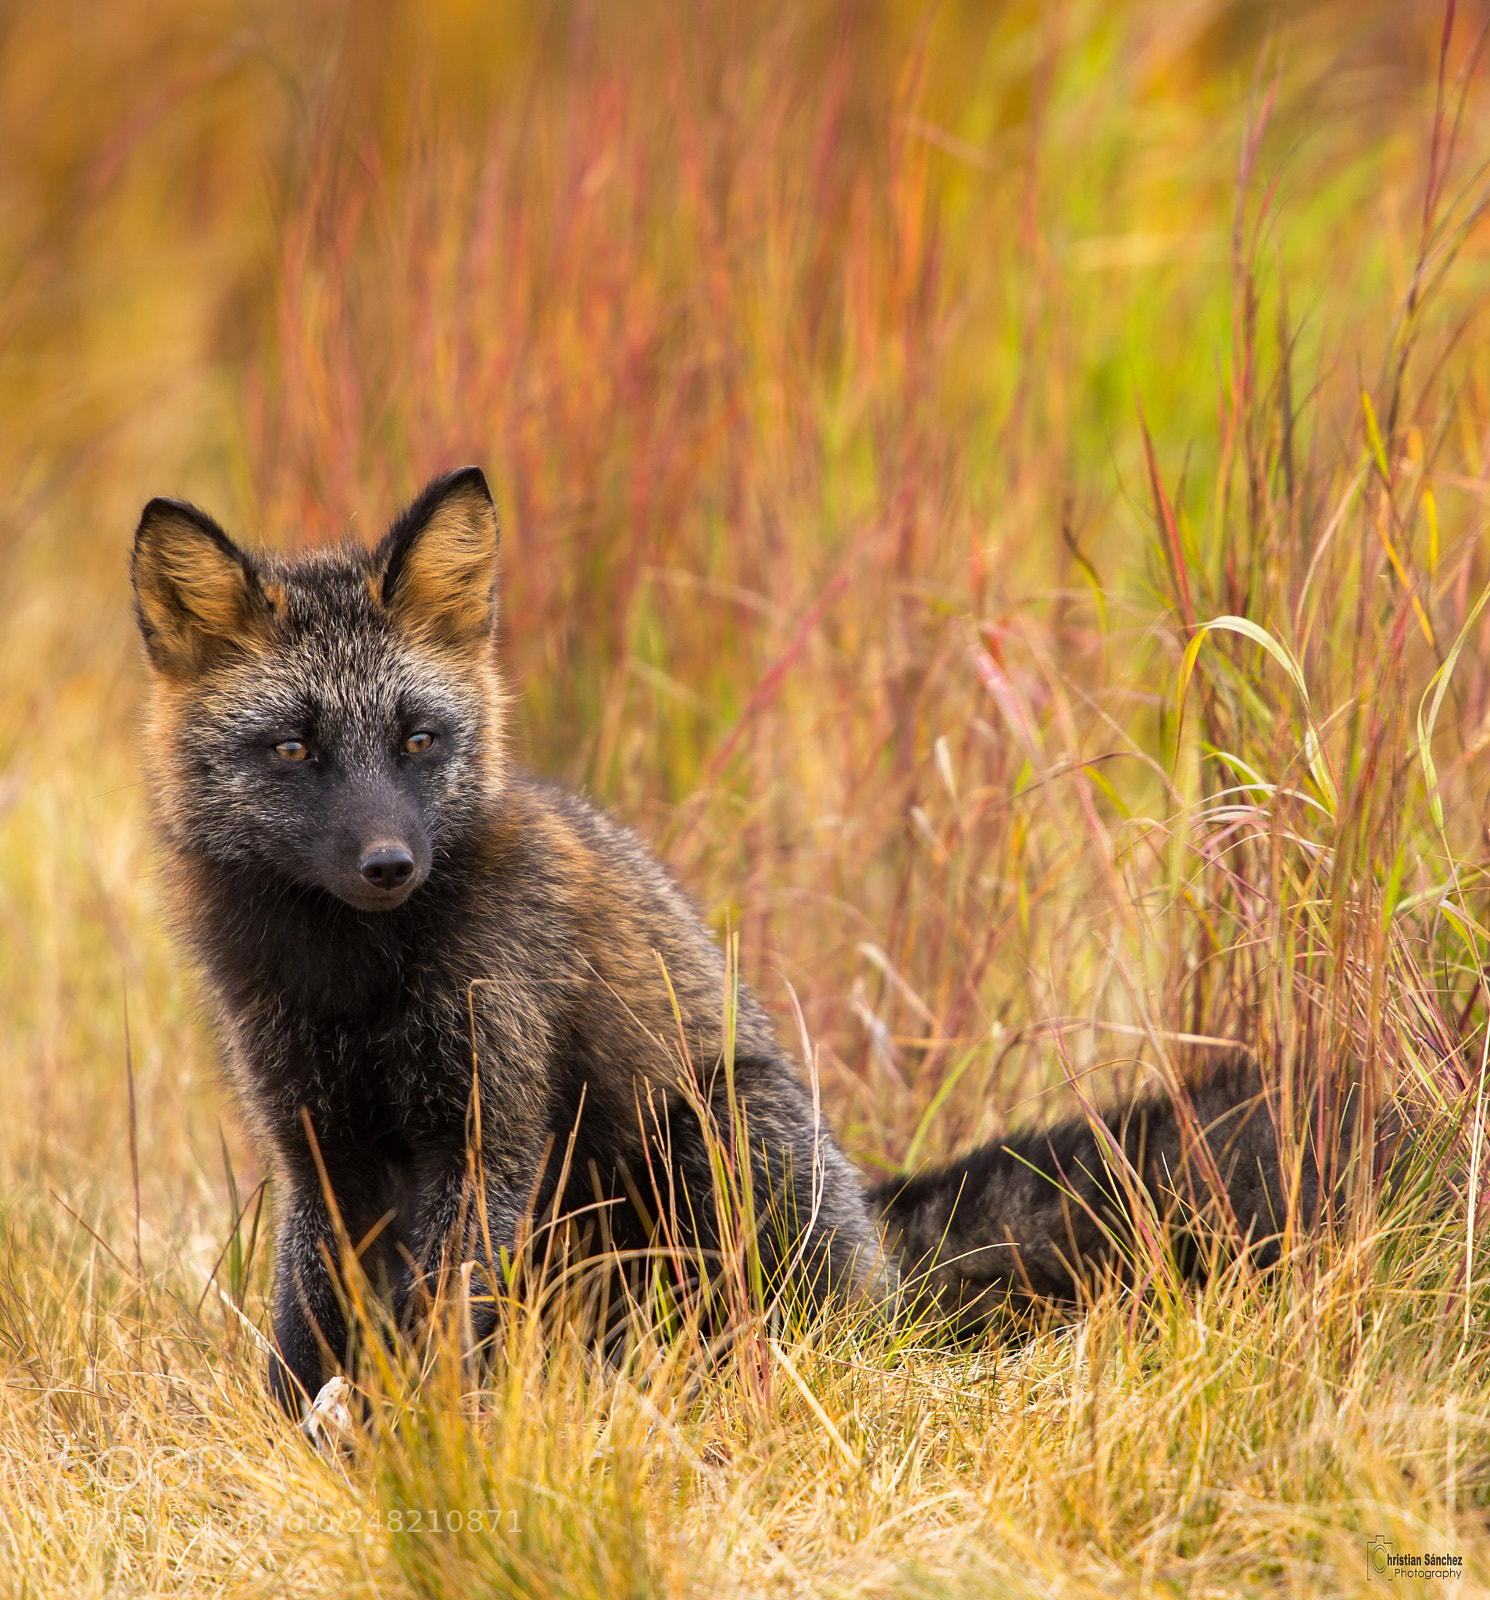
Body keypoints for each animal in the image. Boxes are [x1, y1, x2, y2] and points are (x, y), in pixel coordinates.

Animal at [130, 466, 1333, 1418]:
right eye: (294, 749)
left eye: (418, 740)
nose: (388, 865)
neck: (356, 987)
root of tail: (883, 1259)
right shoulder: (317, 1147)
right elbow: (304, 1330)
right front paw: (300, 1441)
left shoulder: (485, 1135)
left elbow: (439, 1325)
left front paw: (413, 1436)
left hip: (713, 1139)